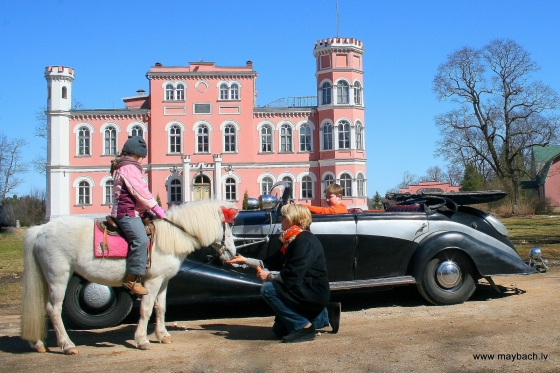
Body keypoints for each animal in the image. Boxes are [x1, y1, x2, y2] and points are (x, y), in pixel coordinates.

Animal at [20, 199, 236, 354]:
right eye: (227, 228)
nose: (233, 253)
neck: (172, 236)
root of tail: (41, 229)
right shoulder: (152, 281)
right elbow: (146, 310)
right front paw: (142, 340)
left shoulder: (163, 281)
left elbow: (160, 308)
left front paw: (162, 335)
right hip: (59, 276)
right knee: (53, 309)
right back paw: (67, 345)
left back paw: (38, 343)